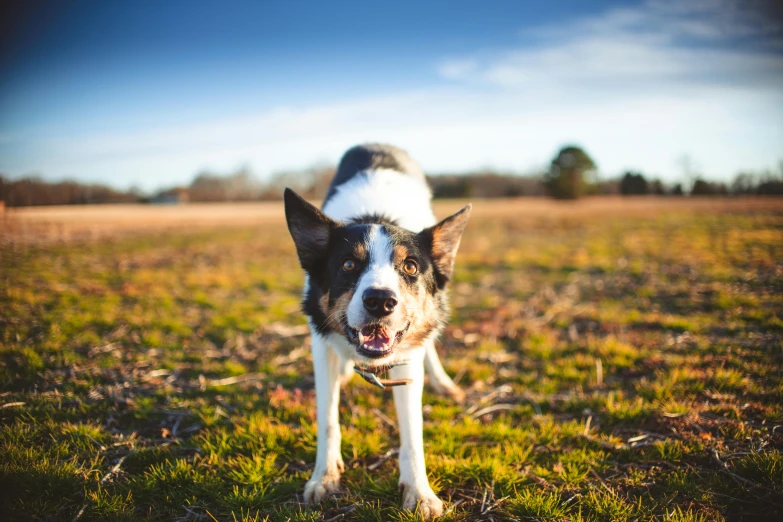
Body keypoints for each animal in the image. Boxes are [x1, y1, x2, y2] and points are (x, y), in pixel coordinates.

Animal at [286, 142, 472, 516]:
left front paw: (419, 491)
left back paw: (443, 383)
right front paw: (324, 476)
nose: (380, 301)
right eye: (348, 264)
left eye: (410, 266)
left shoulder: (407, 357)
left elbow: (412, 431)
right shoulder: (320, 343)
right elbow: (327, 418)